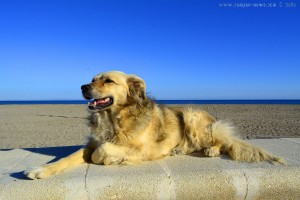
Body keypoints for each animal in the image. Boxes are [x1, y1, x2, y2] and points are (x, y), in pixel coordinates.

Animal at [24, 70, 284, 180]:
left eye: (108, 81)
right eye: (92, 80)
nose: (82, 87)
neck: (114, 119)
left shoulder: (144, 150)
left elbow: (103, 150)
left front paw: (110, 159)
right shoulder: (91, 144)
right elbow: (69, 157)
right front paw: (41, 169)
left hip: (192, 116)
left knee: (220, 141)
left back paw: (211, 150)